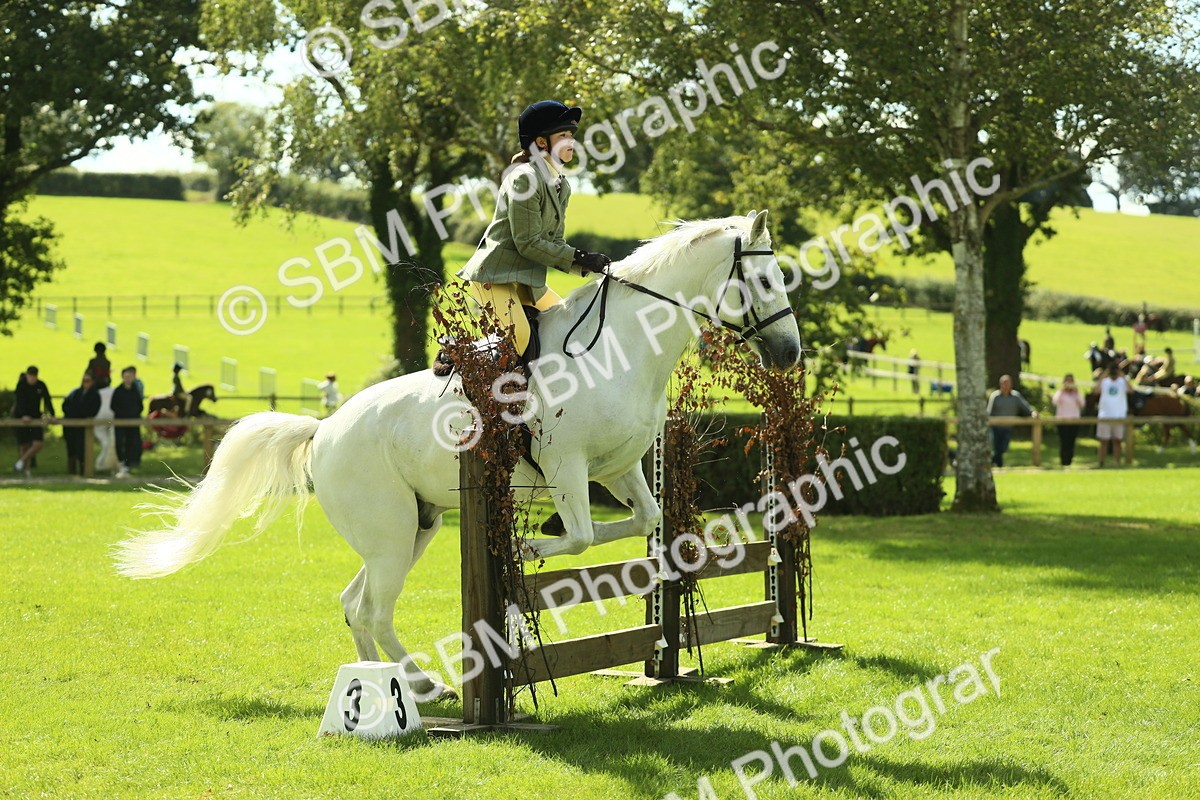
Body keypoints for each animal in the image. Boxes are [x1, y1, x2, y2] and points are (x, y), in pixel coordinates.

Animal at [115, 211, 802, 700]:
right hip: (391, 534)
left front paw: (533, 547)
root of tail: (325, 429)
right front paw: (528, 546)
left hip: (412, 528)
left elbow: (646, 521)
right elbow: (580, 536)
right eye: (766, 280)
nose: (790, 354)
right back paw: (424, 685)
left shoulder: (618, 468)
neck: (623, 347)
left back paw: (384, 688)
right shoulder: (568, 467)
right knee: (374, 609)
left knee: (355, 606)